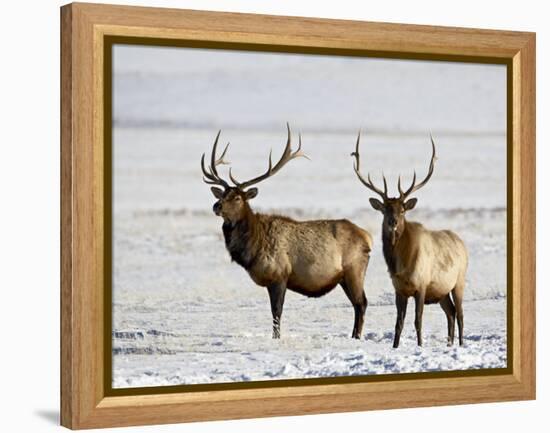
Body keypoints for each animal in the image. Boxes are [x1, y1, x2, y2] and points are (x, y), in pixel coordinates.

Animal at [203, 123, 376, 340]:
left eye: (237, 198)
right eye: (222, 194)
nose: (216, 206)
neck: (252, 248)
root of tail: (367, 237)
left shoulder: (280, 275)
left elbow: (276, 312)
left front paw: (276, 338)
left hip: (354, 269)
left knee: (362, 303)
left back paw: (357, 336)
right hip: (345, 277)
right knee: (357, 304)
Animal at [354, 133, 470, 346]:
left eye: (402, 210)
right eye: (385, 209)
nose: (392, 222)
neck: (402, 265)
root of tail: (461, 243)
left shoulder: (422, 285)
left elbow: (418, 320)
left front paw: (420, 345)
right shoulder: (399, 289)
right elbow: (398, 323)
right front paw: (395, 346)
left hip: (459, 281)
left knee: (460, 314)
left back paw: (459, 344)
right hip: (441, 291)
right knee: (450, 312)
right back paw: (449, 343)